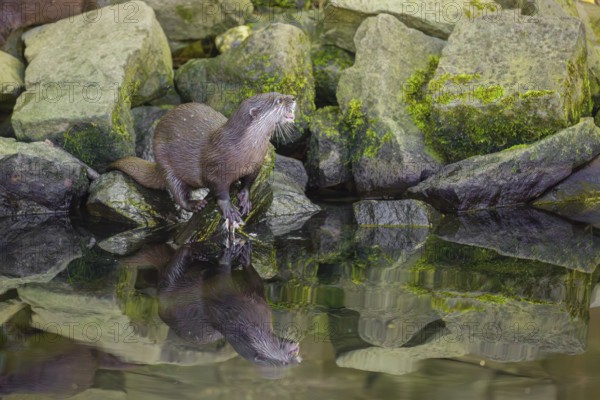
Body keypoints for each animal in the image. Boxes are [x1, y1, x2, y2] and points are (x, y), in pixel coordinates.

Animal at [110, 92, 298, 227]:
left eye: (282, 93)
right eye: (279, 101)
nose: (294, 98)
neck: (245, 151)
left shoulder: (256, 164)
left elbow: (248, 182)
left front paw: (244, 198)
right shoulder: (215, 169)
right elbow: (219, 189)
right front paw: (229, 208)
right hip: (165, 163)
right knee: (178, 192)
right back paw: (196, 204)